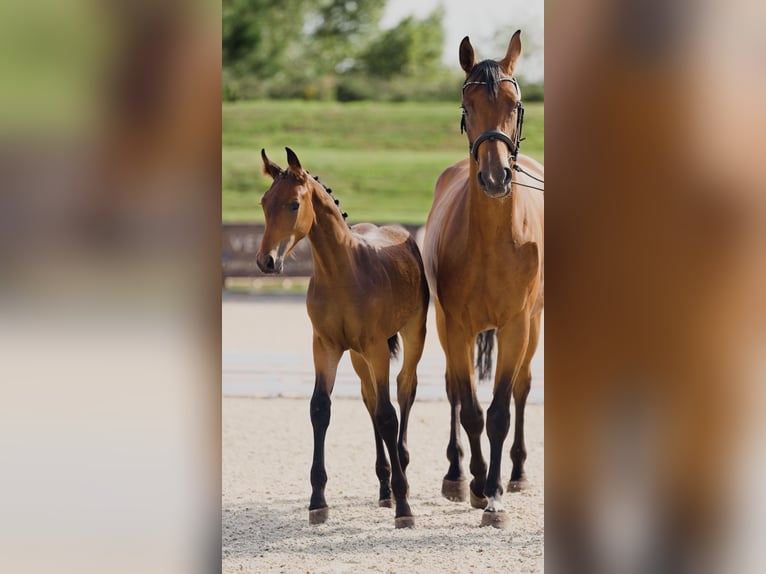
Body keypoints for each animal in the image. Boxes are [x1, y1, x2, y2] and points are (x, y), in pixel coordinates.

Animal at [256, 148, 429, 528]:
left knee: (403, 389)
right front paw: (317, 501)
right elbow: (321, 408)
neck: (344, 276)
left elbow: (388, 415)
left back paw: (402, 471)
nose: (266, 261)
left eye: (294, 204)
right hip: (357, 356)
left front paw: (404, 507)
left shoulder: (377, 347)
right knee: (369, 398)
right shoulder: (325, 346)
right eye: (263, 202)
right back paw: (384, 487)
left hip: (413, 333)